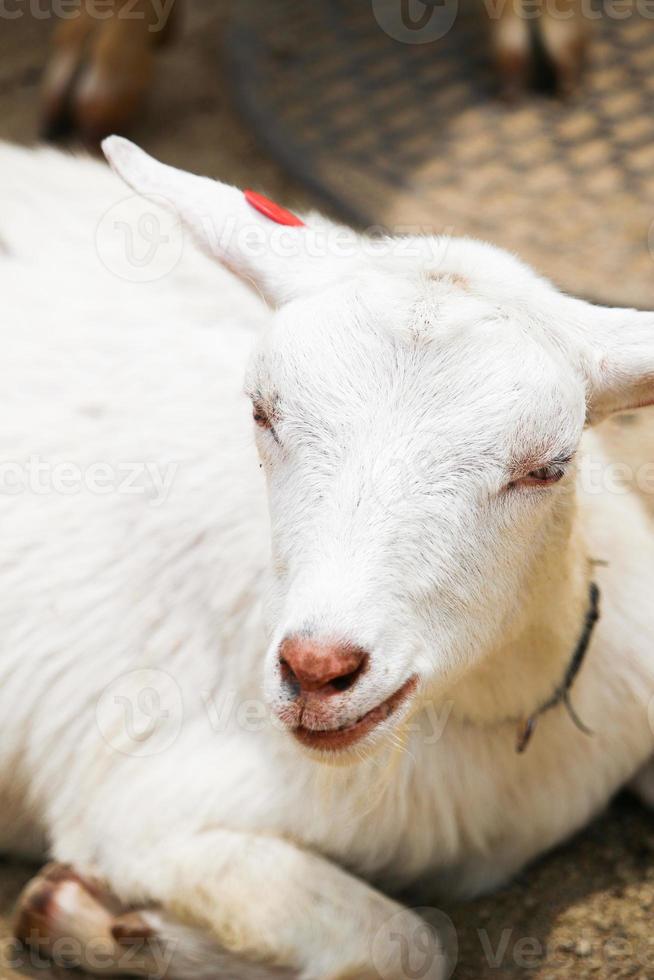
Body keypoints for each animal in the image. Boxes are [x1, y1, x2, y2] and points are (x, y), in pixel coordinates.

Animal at [1, 138, 654, 980]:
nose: (318, 669)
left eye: (549, 466)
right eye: (261, 411)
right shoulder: (146, 808)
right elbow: (407, 943)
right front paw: (90, 920)